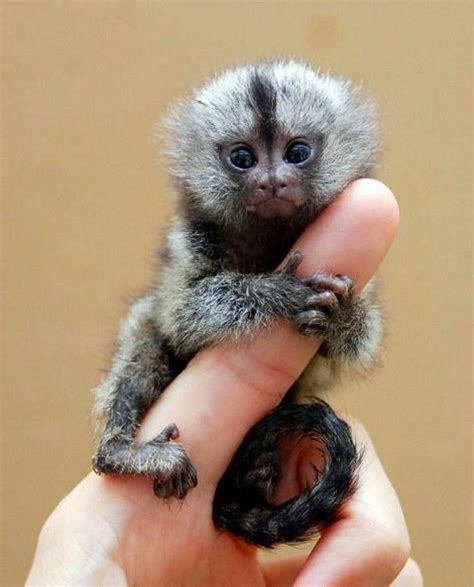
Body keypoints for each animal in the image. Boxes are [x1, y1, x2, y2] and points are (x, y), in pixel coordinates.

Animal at [92, 62, 382, 548]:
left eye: (297, 152)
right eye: (243, 159)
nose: (272, 181)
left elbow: (352, 347)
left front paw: (343, 318)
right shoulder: (193, 240)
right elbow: (181, 315)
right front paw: (275, 291)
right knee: (146, 330)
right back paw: (119, 453)